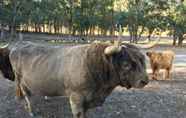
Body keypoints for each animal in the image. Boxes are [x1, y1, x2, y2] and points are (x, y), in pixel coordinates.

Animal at [0, 41, 148, 117]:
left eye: (143, 61)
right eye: (126, 64)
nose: (145, 81)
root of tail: (18, 47)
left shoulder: (88, 100)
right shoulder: (76, 98)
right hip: (21, 81)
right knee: (27, 95)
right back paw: (31, 111)